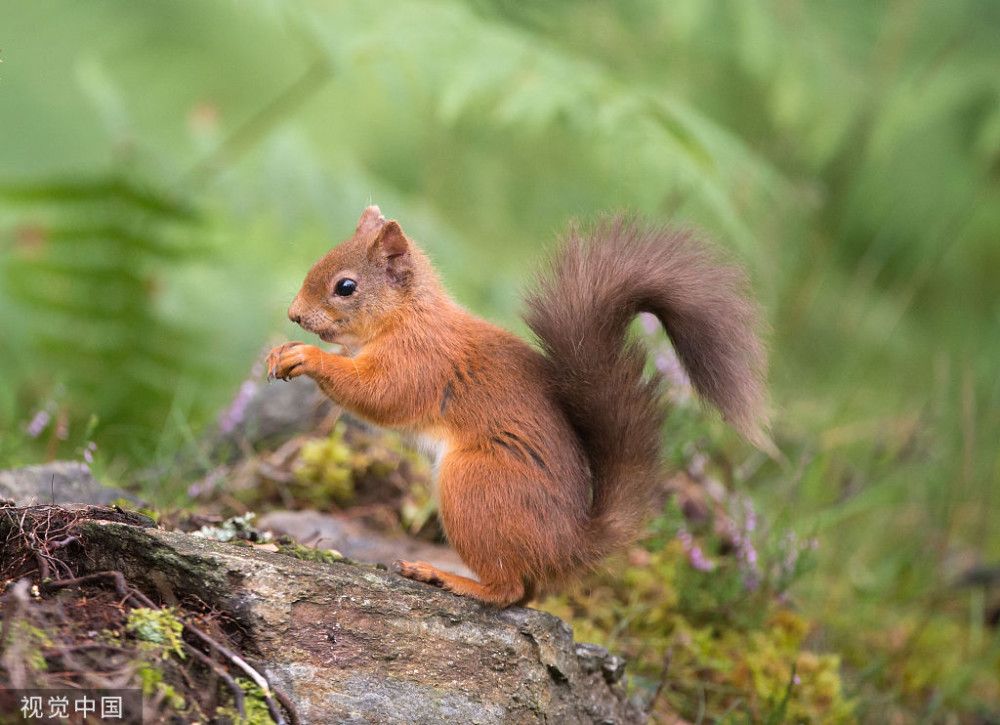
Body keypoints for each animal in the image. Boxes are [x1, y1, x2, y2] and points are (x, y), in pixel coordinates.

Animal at [266, 204, 764, 604]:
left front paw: (307, 356)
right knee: (525, 593)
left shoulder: (421, 362)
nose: (294, 314)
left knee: (509, 590)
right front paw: (281, 351)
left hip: (474, 485)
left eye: (346, 286)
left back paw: (446, 577)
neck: (407, 316)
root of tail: (567, 546)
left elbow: (379, 395)